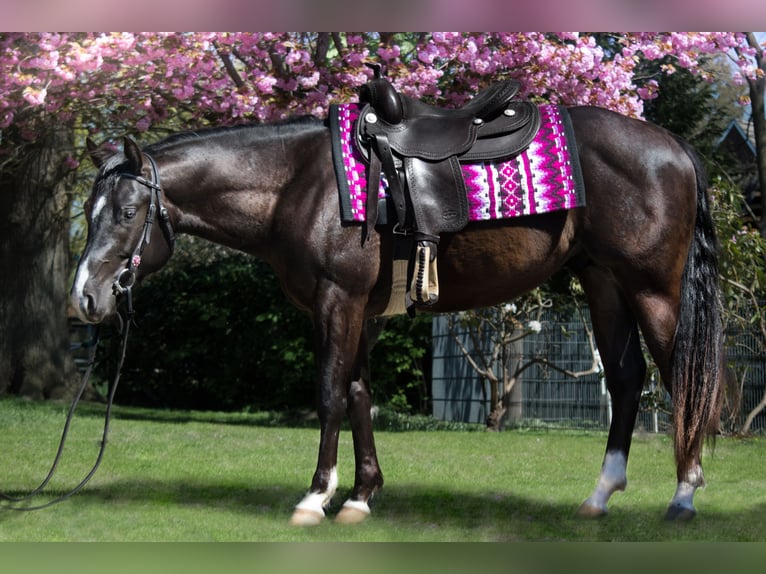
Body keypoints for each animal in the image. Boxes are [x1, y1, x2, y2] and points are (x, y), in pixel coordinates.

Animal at [70, 103, 728, 528]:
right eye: (89, 208)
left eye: (126, 212)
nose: (85, 297)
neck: (298, 186)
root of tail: (674, 147)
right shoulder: (353, 309)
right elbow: (359, 392)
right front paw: (362, 495)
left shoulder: (337, 299)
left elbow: (330, 393)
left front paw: (316, 497)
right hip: (604, 282)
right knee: (627, 378)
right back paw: (600, 496)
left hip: (654, 290)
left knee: (683, 378)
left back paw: (684, 496)